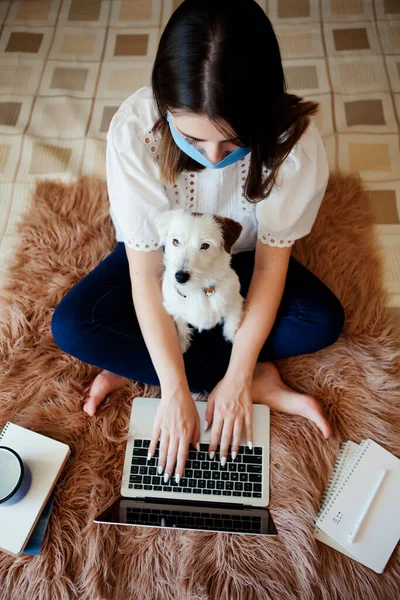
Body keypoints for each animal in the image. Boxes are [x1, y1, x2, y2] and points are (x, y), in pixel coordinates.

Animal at [155, 210, 244, 354]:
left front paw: (231, 337)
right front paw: (182, 343)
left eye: (205, 246)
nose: (180, 276)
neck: (196, 288)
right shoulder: (175, 310)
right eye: (175, 241)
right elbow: (181, 327)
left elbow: (232, 323)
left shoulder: (235, 302)